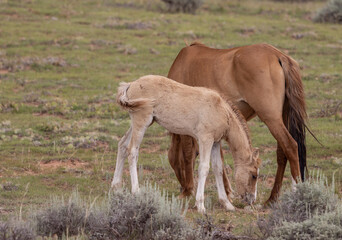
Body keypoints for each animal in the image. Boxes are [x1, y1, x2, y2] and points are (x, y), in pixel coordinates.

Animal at [111, 75, 260, 214]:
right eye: (254, 175)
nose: (251, 199)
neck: (221, 110)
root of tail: (131, 84)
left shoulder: (216, 142)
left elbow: (218, 168)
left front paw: (227, 204)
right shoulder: (205, 139)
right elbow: (204, 168)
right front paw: (200, 205)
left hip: (141, 123)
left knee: (122, 145)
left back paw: (116, 186)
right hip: (141, 122)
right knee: (132, 151)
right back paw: (136, 191)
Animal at [166, 42, 308, 203]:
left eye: (172, 163)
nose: (182, 187)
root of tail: (278, 55)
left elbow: (187, 154)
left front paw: (188, 190)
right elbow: (219, 159)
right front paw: (227, 191)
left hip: (271, 119)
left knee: (291, 146)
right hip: (282, 118)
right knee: (282, 152)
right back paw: (272, 197)